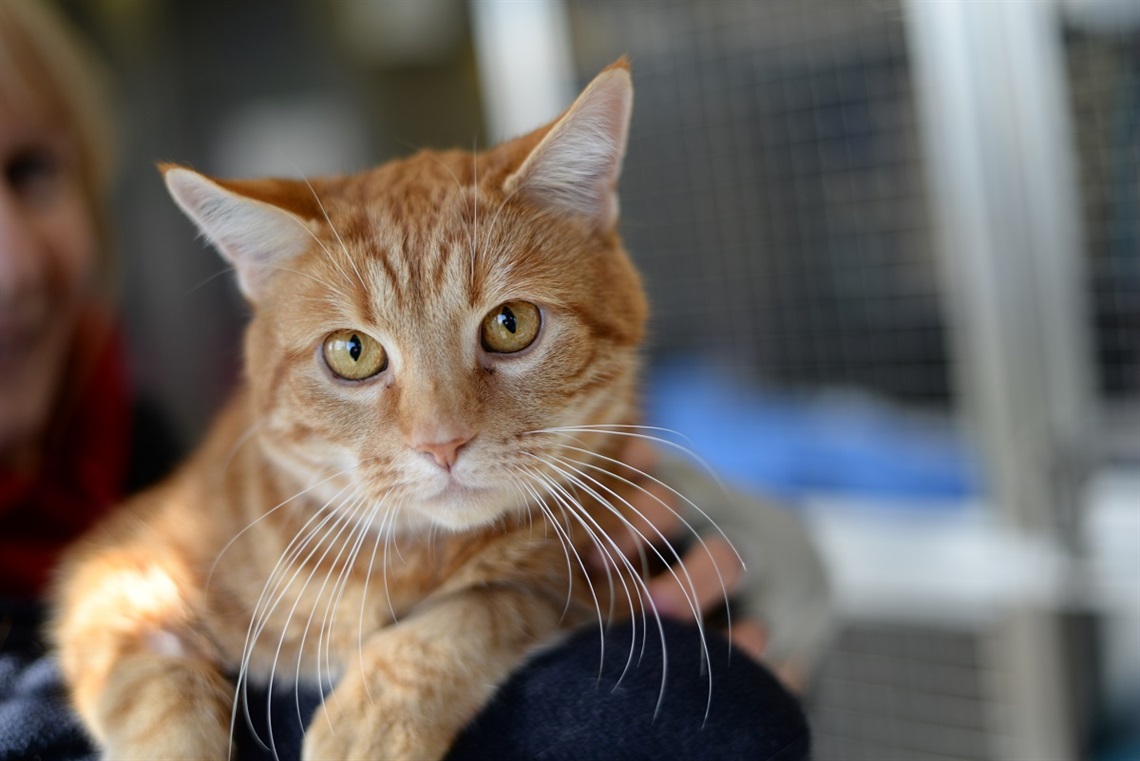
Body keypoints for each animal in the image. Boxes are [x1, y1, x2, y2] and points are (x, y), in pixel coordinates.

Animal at [53, 60, 715, 761]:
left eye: (512, 324)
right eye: (353, 352)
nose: (443, 443)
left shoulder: (605, 574)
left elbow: (478, 607)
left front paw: (370, 719)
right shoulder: (110, 568)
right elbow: (152, 692)